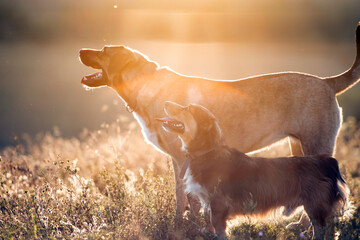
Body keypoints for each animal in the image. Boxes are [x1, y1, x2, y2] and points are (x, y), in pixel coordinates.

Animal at [79, 23, 360, 217]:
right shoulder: (177, 160)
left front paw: (188, 225)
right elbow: (180, 196)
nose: (81, 49)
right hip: (298, 147)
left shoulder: (183, 158)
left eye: (104, 51)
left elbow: (188, 197)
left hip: (317, 145)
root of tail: (327, 82)